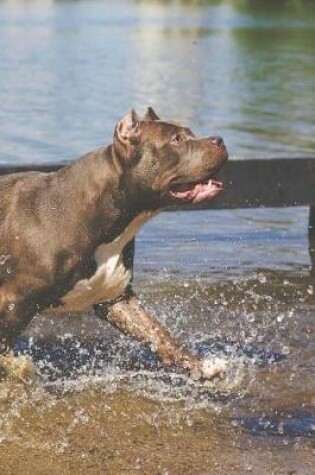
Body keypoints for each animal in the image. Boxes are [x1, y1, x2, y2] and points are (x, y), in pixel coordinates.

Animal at [0, 109, 227, 384]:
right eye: (176, 139)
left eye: (190, 133)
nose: (219, 140)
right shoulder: (13, 302)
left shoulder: (116, 299)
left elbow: (159, 334)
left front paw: (201, 366)